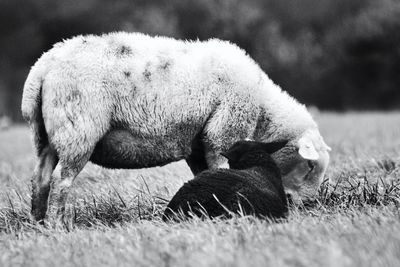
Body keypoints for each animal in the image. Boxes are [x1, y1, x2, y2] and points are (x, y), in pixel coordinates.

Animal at [20, 32, 330, 223]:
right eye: (310, 165)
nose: (306, 205)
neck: (263, 109)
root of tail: (42, 66)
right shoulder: (222, 132)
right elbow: (221, 168)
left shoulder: (198, 145)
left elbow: (204, 174)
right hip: (78, 129)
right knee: (61, 181)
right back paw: (59, 224)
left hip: (46, 135)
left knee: (40, 178)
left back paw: (38, 223)